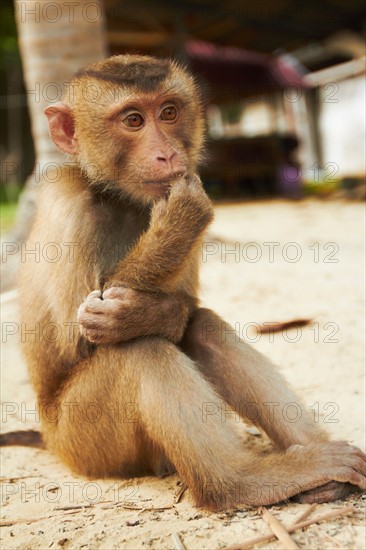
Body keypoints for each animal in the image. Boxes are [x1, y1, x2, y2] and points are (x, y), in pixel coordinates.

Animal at [17, 56, 366, 512]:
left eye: (168, 112)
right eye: (133, 120)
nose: (167, 153)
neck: (118, 198)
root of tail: (50, 439)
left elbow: (182, 305)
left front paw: (146, 310)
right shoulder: (68, 200)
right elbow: (80, 338)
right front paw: (177, 224)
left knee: (201, 326)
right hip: (85, 444)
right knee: (140, 351)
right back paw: (239, 484)